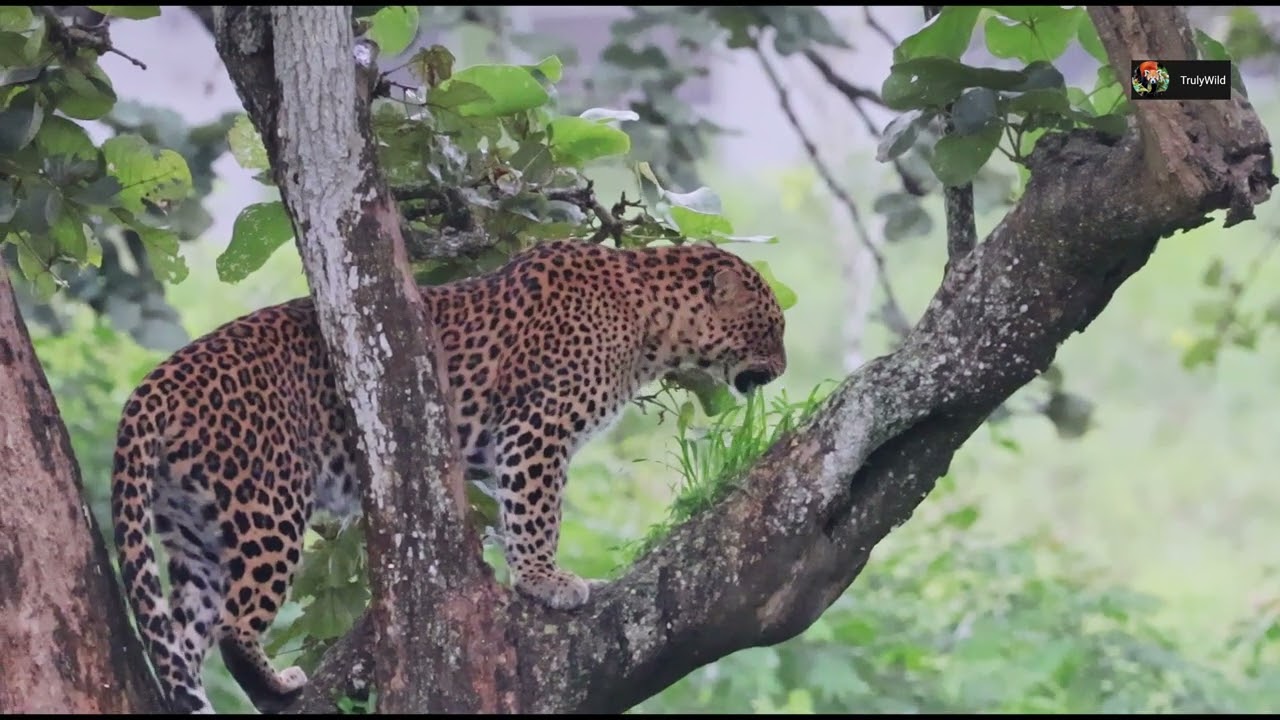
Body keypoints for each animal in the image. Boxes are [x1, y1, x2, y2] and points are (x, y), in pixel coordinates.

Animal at [109, 239, 787, 714]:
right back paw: (277, 684)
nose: (782, 369)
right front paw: (546, 582)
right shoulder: (536, 426)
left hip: (192, 531)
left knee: (181, 638)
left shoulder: (497, 449)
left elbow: (511, 511)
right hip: (266, 503)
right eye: (771, 326)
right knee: (233, 624)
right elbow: (537, 512)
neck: (649, 319)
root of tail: (156, 382)